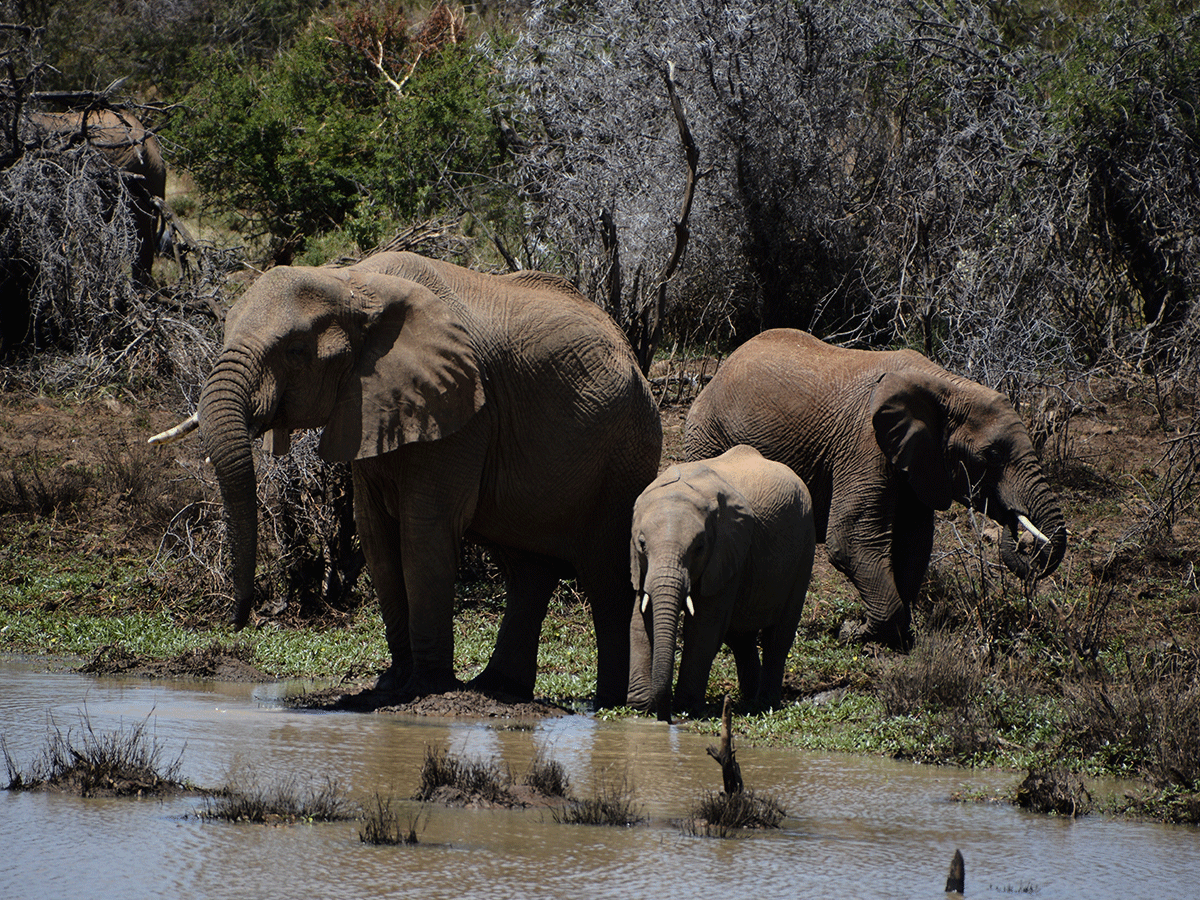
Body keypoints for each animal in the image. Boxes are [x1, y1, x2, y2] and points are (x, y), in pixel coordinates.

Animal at [151, 250, 662, 710]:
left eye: (296, 352)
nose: (240, 620)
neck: (352, 283)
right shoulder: (370, 404)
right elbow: (377, 537)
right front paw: (392, 684)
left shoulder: (461, 410)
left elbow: (423, 535)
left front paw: (427, 688)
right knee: (527, 573)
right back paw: (496, 689)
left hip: (624, 455)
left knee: (604, 577)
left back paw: (610, 704)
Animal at [628, 446, 816, 724]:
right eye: (641, 544)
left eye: (699, 547)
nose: (664, 718)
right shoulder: (640, 564)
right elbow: (640, 618)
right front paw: (639, 707)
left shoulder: (725, 552)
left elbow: (704, 626)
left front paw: (686, 708)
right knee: (740, 638)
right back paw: (749, 700)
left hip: (804, 548)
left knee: (778, 636)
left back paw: (765, 702)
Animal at [686, 328, 1070, 652]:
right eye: (991, 455)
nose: (1015, 527)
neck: (946, 385)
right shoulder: (864, 445)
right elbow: (850, 540)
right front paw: (857, 634)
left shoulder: (918, 460)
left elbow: (913, 543)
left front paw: (887, 634)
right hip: (708, 436)